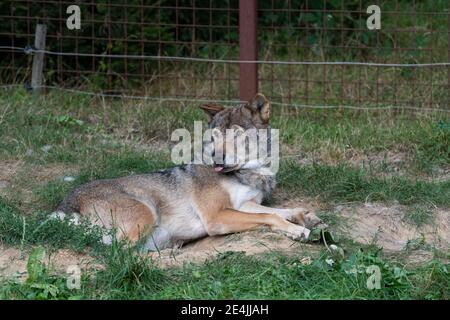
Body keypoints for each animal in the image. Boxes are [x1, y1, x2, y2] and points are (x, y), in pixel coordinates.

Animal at [54, 94, 324, 251]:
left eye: (236, 134)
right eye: (215, 135)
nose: (216, 158)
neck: (248, 172)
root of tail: (66, 204)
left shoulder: (245, 204)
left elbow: (278, 211)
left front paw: (304, 216)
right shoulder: (217, 217)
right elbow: (271, 216)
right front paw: (299, 230)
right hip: (146, 213)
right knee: (113, 252)